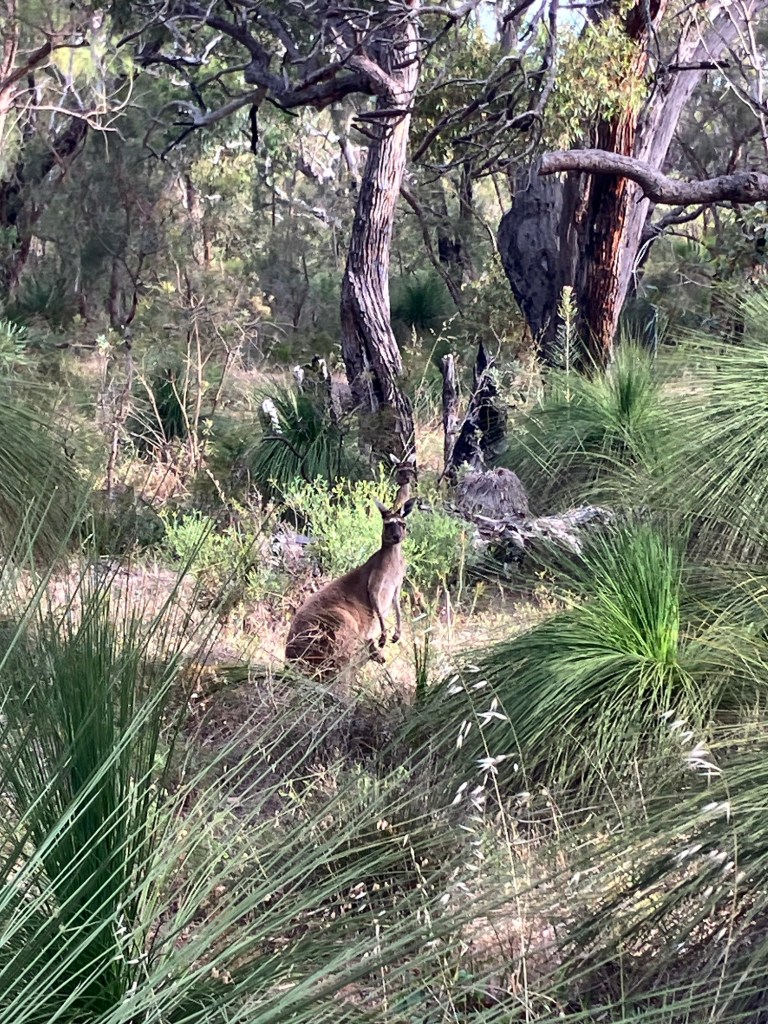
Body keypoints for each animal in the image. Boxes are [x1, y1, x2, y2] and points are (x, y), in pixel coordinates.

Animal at [285, 494, 417, 678]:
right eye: (387, 524)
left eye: (402, 525)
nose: (397, 536)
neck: (393, 559)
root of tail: (290, 657)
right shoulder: (376, 580)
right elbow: (375, 600)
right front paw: (384, 636)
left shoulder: (397, 583)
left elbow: (397, 604)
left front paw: (397, 634)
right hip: (341, 621)